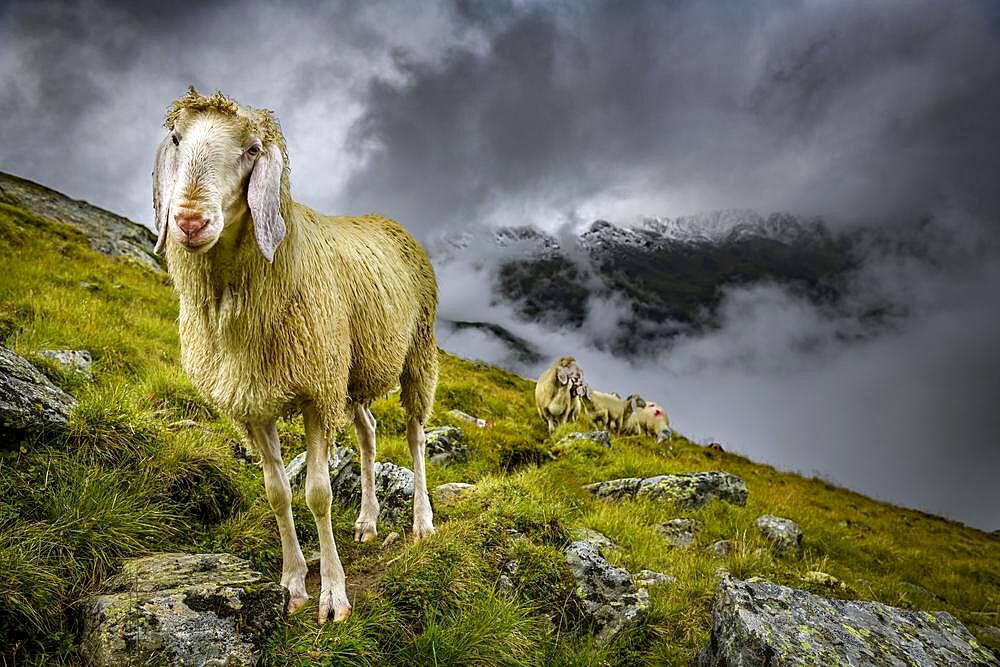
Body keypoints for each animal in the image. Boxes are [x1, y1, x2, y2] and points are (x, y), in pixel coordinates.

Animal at [153, 88, 442, 628]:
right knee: (369, 432)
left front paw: (332, 594)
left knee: (415, 437)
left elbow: (317, 494)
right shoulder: (252, 403)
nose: (189, 221)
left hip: (416, 351)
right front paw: (291, 582)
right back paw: (368, 520)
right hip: (350, 370)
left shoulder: (314, 393)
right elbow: (278, 493)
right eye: (177, 139)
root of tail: (388, 220)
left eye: (251, 149)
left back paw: (422, 521)